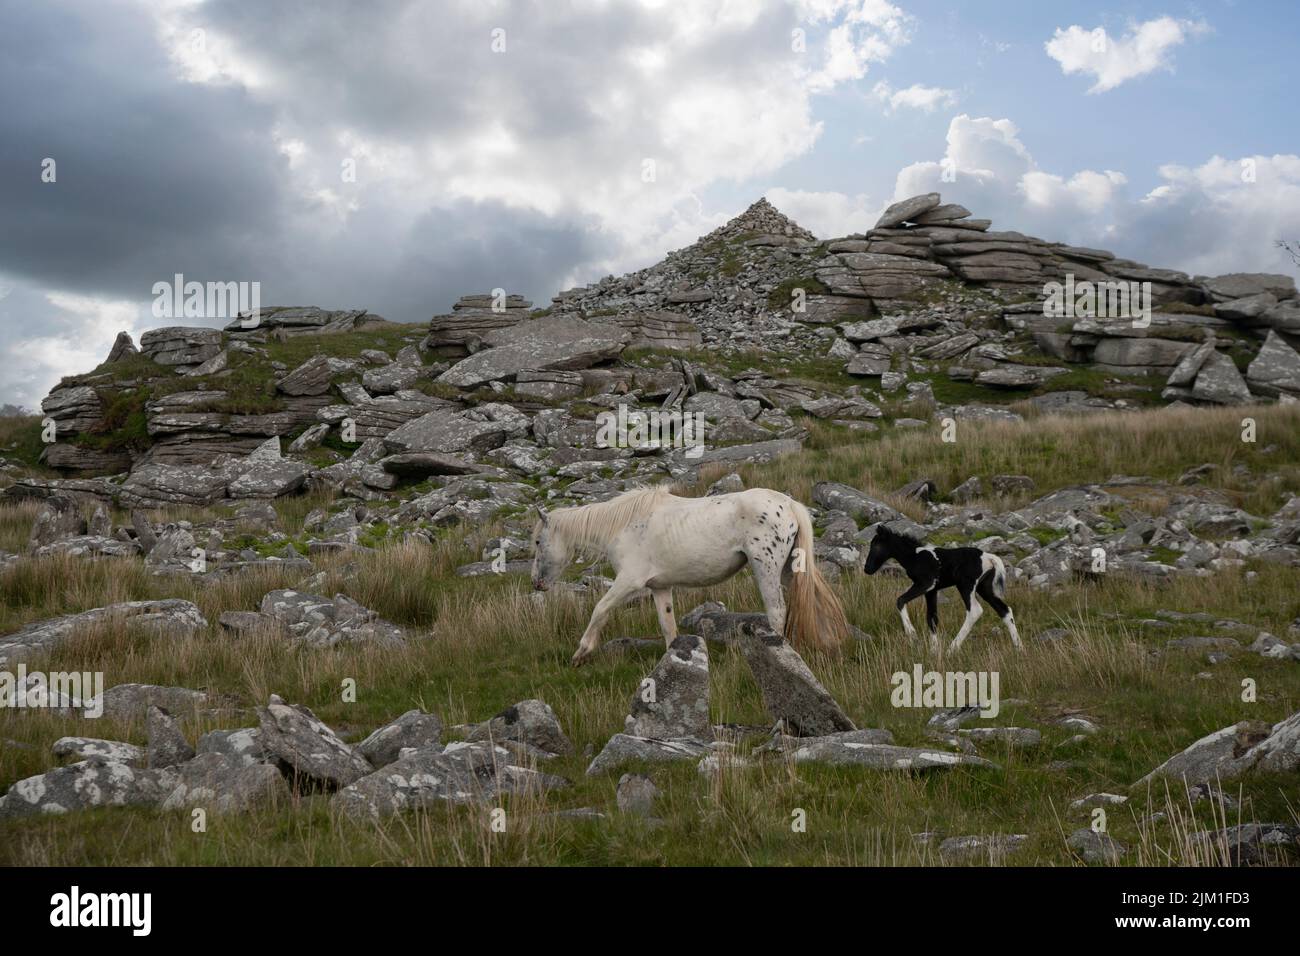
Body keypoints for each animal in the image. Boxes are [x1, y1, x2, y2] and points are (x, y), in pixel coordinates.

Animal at [530, 486, 850, 666]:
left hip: (766, 568)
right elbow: (668, 626)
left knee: (776, 611)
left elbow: (600, 609)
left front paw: (581, 653)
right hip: (788, 570)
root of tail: (789, 504)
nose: (536, 583)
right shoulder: (659, 587)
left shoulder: (629, 582)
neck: (624, 525)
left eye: (536, 541)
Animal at [862, 522, 1021, 654]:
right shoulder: (932, 590)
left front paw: (913, 635)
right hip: (984, 588)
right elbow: (932, 618)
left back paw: (952, 649)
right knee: (1005, 610)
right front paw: (934, 651)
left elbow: (900, 600)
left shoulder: (926, 583)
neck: (914, 556)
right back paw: (1019, 648)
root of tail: (988, 557)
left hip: (966, 585)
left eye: (876, 546)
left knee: (975, 610)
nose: (867, 569)